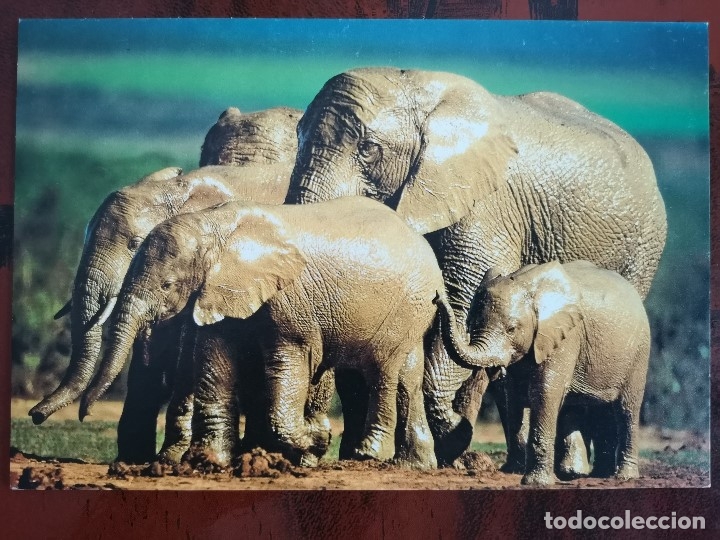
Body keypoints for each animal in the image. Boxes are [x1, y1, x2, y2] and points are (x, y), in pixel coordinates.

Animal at [29, 163, 294, 463]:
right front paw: (133, 459)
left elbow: (187, 346)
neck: (175, 190)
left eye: (135, 244)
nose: (35, 415)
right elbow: (152, 344)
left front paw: (169, 457)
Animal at [79, 197, 442, 469]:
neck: (215, 226)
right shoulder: (220, 290)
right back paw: (414, 465)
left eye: (167, 285)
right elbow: (215, 361)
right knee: (408, 376)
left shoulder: (291, 298)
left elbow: (290, 360)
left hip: (405, 304)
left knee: (383, 369)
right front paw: (211, 462)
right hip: (414, 308)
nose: (85, 414)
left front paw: (317, 441)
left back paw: (367, 456)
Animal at [435, 260, 651, 485]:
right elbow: (513, 396)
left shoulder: (566, 336)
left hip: (639, 352)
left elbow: (545, 392)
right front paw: (516, 472)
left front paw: (535, 482)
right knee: (591, 409)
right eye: (472, 324)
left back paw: (623, 477)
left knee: (626, 409)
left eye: (512, 329)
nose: (437, 297)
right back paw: (593, 474)